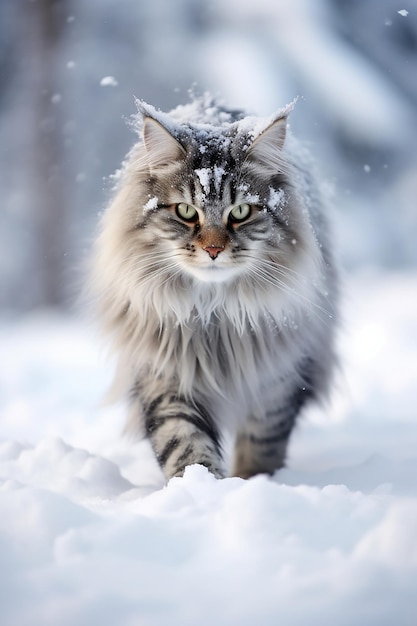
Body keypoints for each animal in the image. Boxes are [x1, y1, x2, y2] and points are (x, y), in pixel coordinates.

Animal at [90, 94, 334, 478]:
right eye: (186, 211)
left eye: (241, 212)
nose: (214, 250)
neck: (215, 313)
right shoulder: (164, 373)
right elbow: (183, 443)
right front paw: (200, 484)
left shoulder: (278, 379)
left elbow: (262, 444)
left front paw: (252, 483)